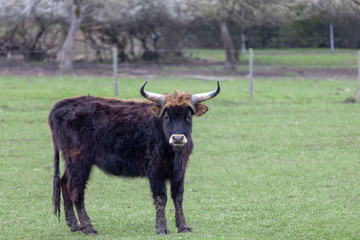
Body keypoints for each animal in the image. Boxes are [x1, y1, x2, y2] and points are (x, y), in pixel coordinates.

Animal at [49, 80, 221, 234]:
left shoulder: (180, 170)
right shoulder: (155, 170)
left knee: (64, 183)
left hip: (70, 161)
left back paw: (74, 225)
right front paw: (162, 228)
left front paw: (183, 226)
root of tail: (62, 105)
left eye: (188, 116)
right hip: (79, 160)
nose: (178, 138)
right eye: (167, 117)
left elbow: (178, 196)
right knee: (76, 190)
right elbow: (161, 197)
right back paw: (88, 227)